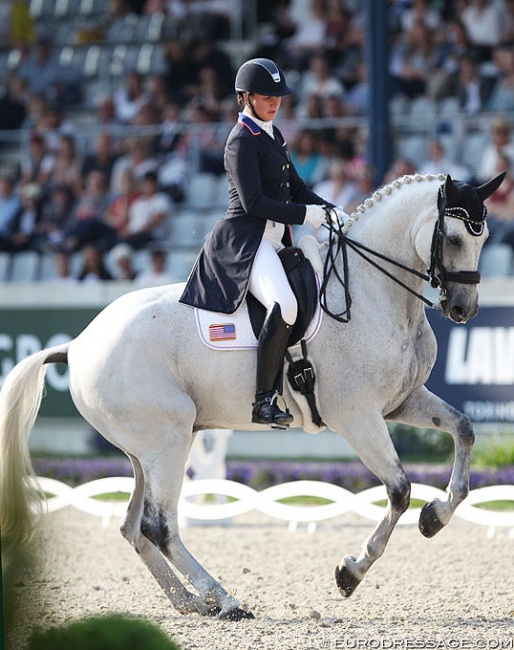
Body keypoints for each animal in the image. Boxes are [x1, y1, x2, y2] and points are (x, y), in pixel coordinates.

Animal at [0, 171, 504, 616]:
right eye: (453, 238)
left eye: (483, 239)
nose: (463, 309)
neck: (371, 292)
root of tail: (78, 343)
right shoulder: (356, 415)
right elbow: (399, 489)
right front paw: (351, 572)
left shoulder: (401, 401)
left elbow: (464, 429)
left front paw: (435, 517)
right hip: (168, 441)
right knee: (158, 525)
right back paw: (223, 600)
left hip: (145, 450)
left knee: (134, 527)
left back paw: (188, 602)